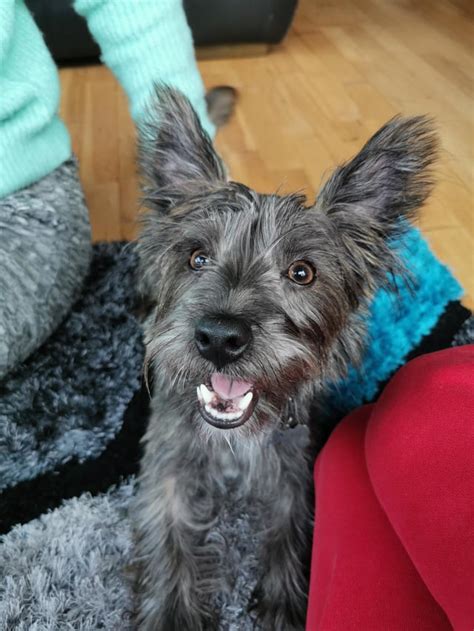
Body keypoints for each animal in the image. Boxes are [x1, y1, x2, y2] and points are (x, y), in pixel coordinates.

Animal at [133, 86, 436, 628]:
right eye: (196, 258)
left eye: (302, 272)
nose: (219, 337)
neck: (232, 445)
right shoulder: (166, 470)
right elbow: (168, 539)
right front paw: (172, 612)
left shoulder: (293, 471)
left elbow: (290, 527)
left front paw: (281, 600)